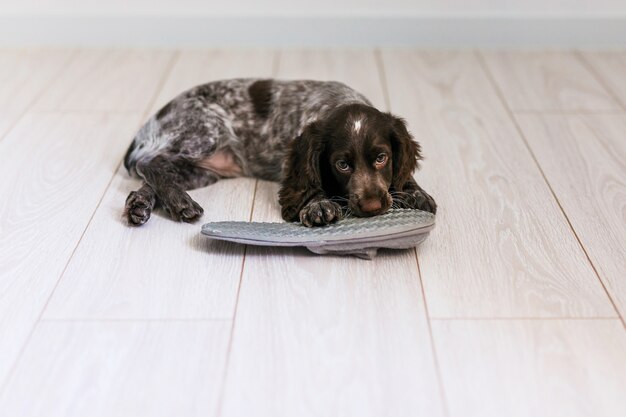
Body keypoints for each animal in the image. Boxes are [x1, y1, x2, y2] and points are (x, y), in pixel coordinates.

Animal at [122, 79, 434, 226]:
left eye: (382, 158)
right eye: (342, 165)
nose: (372, 207)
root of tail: (153, 120)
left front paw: (417, 192)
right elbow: (309, 182)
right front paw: (317, 205)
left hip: (201, 171)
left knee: (156, 174)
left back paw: (140, 204)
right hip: (205, 131)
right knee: (149, 163)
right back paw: (180, 202)